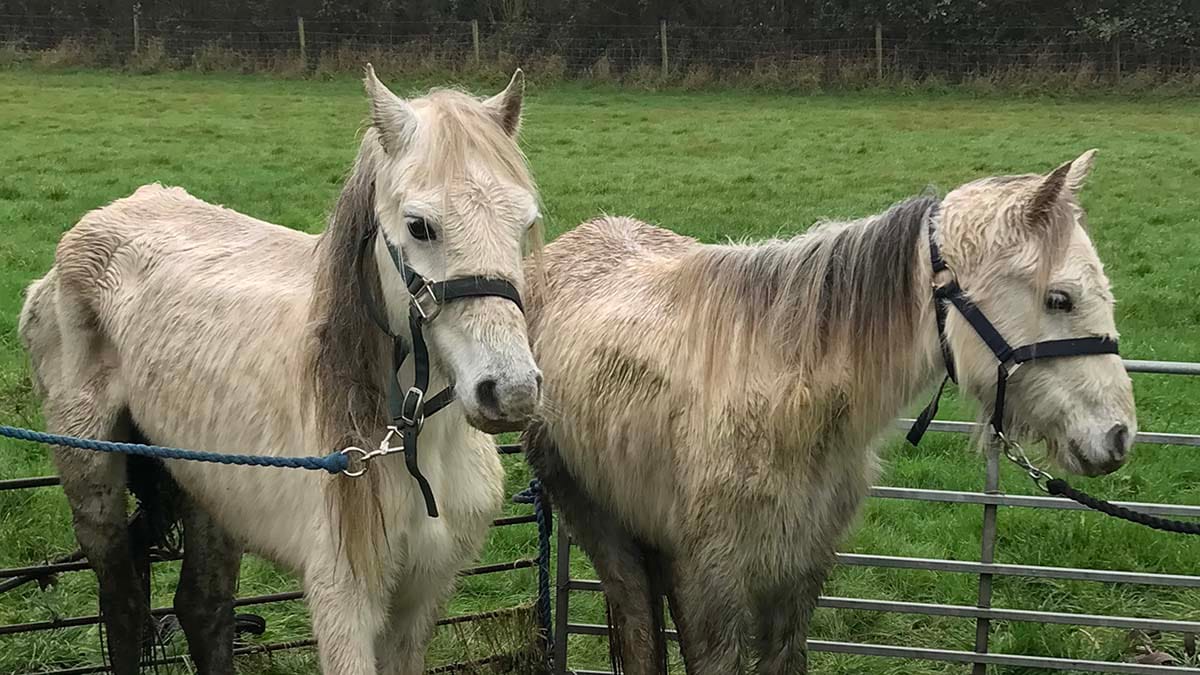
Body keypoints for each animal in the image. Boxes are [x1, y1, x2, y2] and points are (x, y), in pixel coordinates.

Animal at [18, 66, 543, 675]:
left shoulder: (420, 599)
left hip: (206, 486)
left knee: (202, 605)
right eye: (420, 226)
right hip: (91, 471)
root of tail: (91, 227)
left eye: (523, 222)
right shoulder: (343, 601)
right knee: (123, 605)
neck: (413, 443)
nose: (510, 391)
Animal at [521, 150, 1137, 674]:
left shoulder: (798, 574)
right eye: (1059, 298)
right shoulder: (711, 583)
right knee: (636, 624)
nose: (1118, 435)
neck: (786, 396)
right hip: (603, 527)